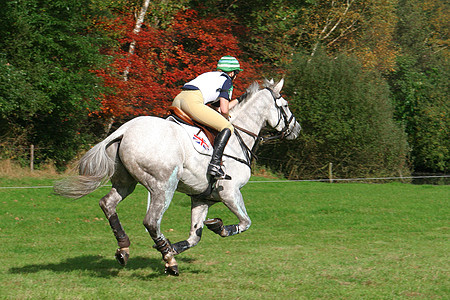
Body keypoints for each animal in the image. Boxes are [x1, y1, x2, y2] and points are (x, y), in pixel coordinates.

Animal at [54, 78, 302, 276]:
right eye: (286, 106)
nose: (297, 129)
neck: (239, 135)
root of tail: (124, 129)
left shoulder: (203, 198)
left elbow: (195, 237)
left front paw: (174, 246)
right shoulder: (230, 192)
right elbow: (245, 222)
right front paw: (218, 228)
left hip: (126, 183)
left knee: (108, 204)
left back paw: (125, 249)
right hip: (164, 185)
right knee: (151, 221)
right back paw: (170, 263)